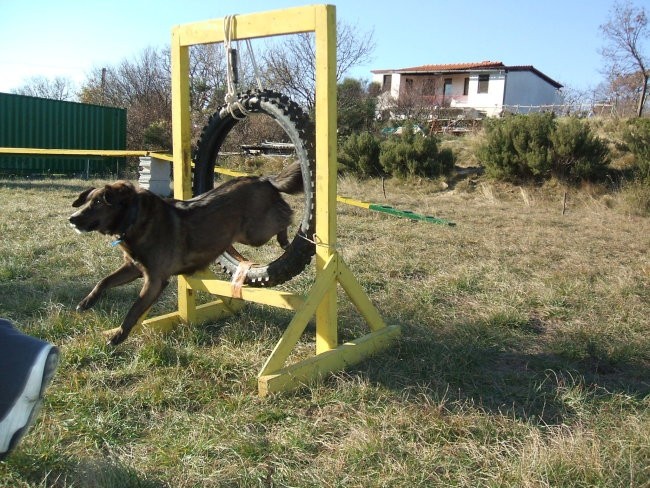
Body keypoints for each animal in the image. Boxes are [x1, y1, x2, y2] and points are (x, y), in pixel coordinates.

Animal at [69, 162, 302, 346]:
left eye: (99, 202)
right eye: (87, 200)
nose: (72, 219)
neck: (134, 219)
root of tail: (263, 178)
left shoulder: (155, 280)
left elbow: (134, 309)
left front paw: (118, 336)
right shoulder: (133, 267)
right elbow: (104, 281)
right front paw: (86, 303)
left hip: (255, 234)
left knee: (287, 216)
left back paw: (291, 238)